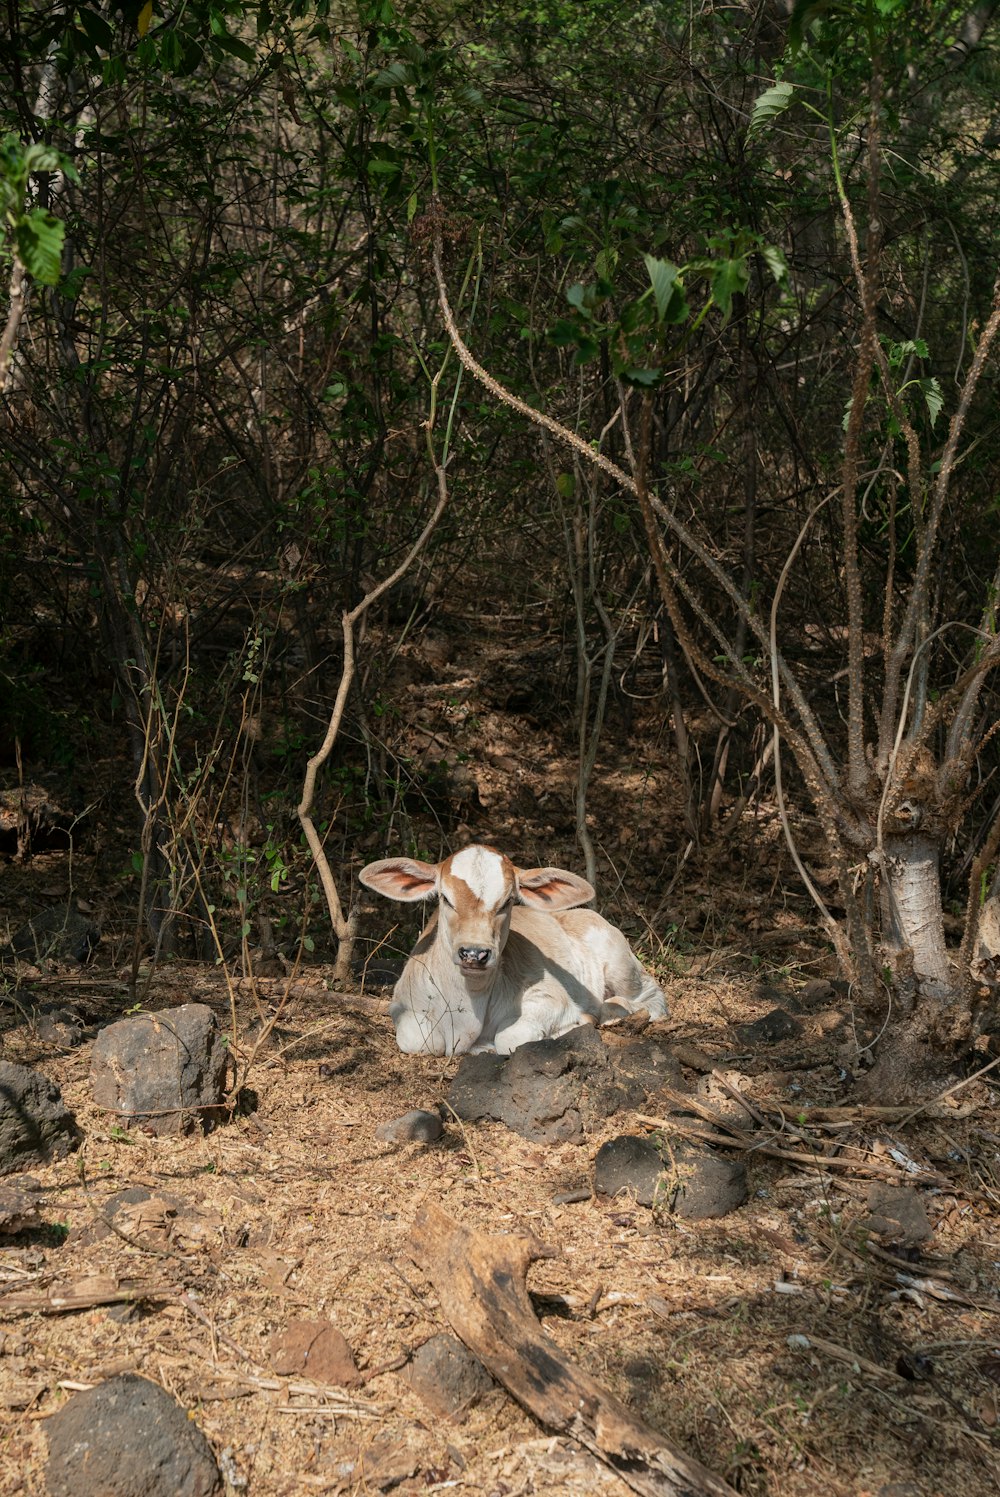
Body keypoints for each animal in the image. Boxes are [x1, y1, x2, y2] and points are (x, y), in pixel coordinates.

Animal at [354, 850, 667, 1059]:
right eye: (445, 898)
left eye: (507, 902)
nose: (474, 953)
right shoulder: (402, 1004)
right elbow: (418, 1040)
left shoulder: (551, 995)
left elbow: (510, 1038)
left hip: (620, 962)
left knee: (652, 998)